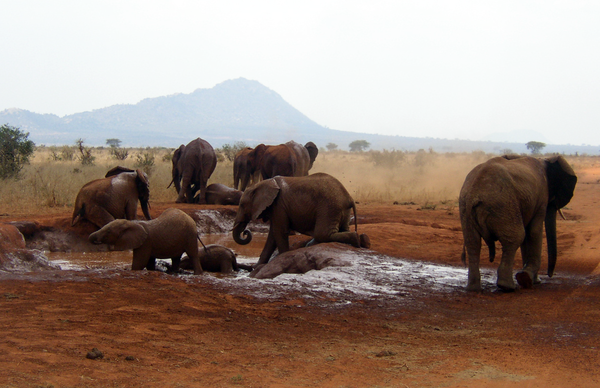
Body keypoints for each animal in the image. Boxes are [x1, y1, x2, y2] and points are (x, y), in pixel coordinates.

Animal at [231, 172, 368, 266]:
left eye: (242, 205)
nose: (245, 232)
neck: (263, 184)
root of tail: (349, 197)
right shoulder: (276, 207)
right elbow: (272, 236)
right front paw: (257, 267)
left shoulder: (279, 205)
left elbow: (279, 232)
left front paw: (281, 257)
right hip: (341, 210)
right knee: (342, 229)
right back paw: (363, 239)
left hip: (329, 207)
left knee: (323, 234)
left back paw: (356, 239)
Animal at [460, 155, 576, 292]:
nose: (550, 274)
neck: (546, 160)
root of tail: (475, 193)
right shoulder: (541, 197)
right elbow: (534, 232)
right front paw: (529, 279)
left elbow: (527, 235)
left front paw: (531, 279)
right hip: (504, 205)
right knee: (515, 238)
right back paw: (508, 287)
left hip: (465, 208)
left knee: (472, 242)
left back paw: (473, 288)